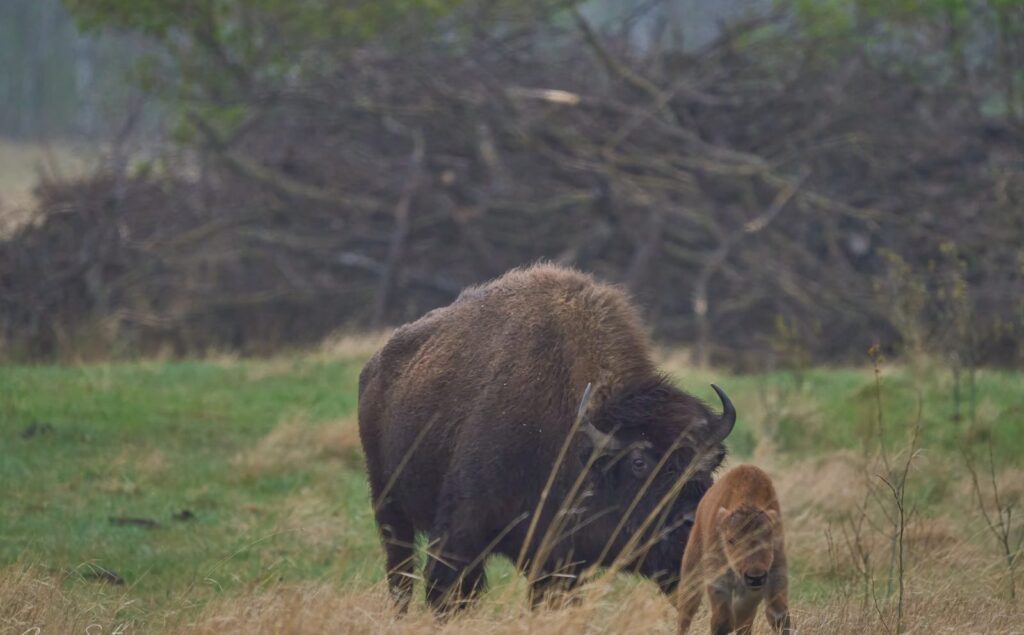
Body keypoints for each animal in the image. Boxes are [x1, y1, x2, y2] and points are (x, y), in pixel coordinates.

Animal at [357, 264, 736, 612]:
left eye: (711, 460)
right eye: (639, 461)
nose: (695, 522)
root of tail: (375, 367)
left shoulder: (558, 561)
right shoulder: (461, 534)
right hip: (389, 508)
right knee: (401, 573)